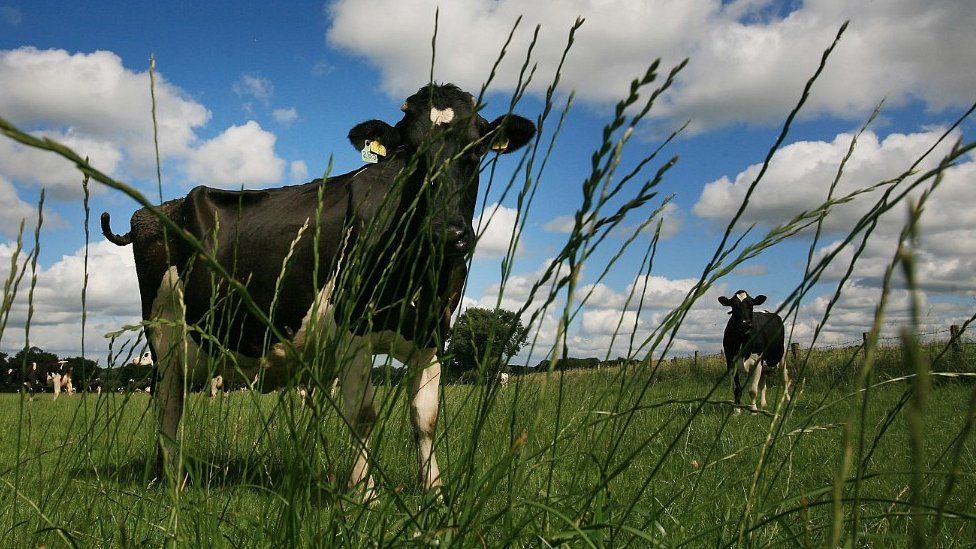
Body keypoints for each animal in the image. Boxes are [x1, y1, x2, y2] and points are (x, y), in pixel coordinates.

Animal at [101, 82, 532, 496]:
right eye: (409, 151)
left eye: (477, 148)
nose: (449, 234)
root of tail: (153, 211)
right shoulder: (353, 334)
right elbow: (362, 415)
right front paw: (364, 495)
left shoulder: (432, 334)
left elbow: (425, 419)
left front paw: (435, 496)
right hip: (164, 337)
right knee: (168, 406)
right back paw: (175, 480)